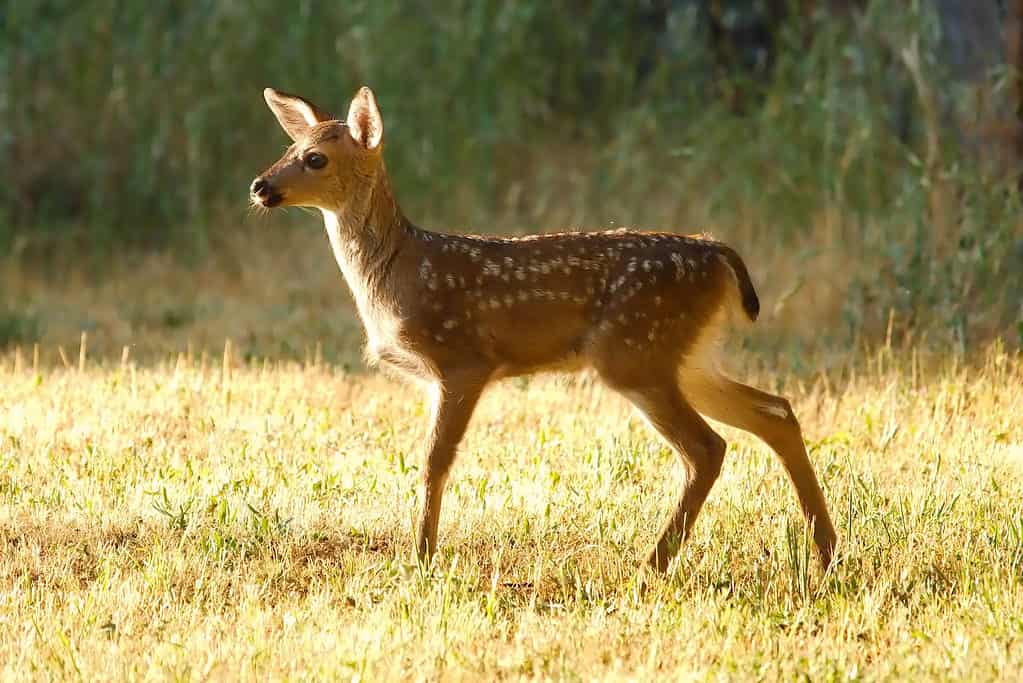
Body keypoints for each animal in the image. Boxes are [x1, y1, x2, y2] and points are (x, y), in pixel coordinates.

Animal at [251, 87, 834, 572]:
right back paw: (826, 551)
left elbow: (434, 461)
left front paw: (420, 559)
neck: (399, 271)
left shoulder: (463, 359)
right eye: (289, 146)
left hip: (635, 352)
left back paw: (653, 563)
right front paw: (420, 553)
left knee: (708, 447)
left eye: (315, 158)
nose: (260, 186)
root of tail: (718, 253)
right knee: (775, 411)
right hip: (686, 357)